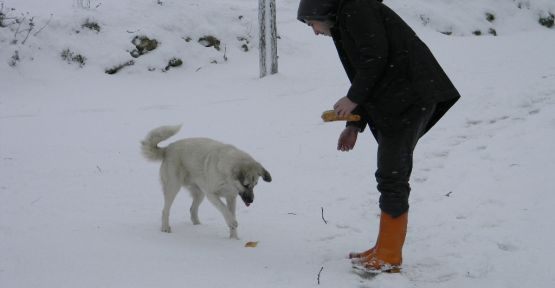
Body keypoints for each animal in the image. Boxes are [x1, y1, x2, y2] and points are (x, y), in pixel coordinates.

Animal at [141, 125, 272, 240]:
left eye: (255, 185)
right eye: (245, 185)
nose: (251, 200)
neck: (227, 177)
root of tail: (168, 149)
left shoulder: (231, 197)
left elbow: (230, 212)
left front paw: (234, 239)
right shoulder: (212, 195)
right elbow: (224, 209)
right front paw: (232, 222)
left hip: (200, 193)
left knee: (192, 210)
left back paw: (198, 226)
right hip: (173, 187)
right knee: (165, 210)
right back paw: (165, 228)